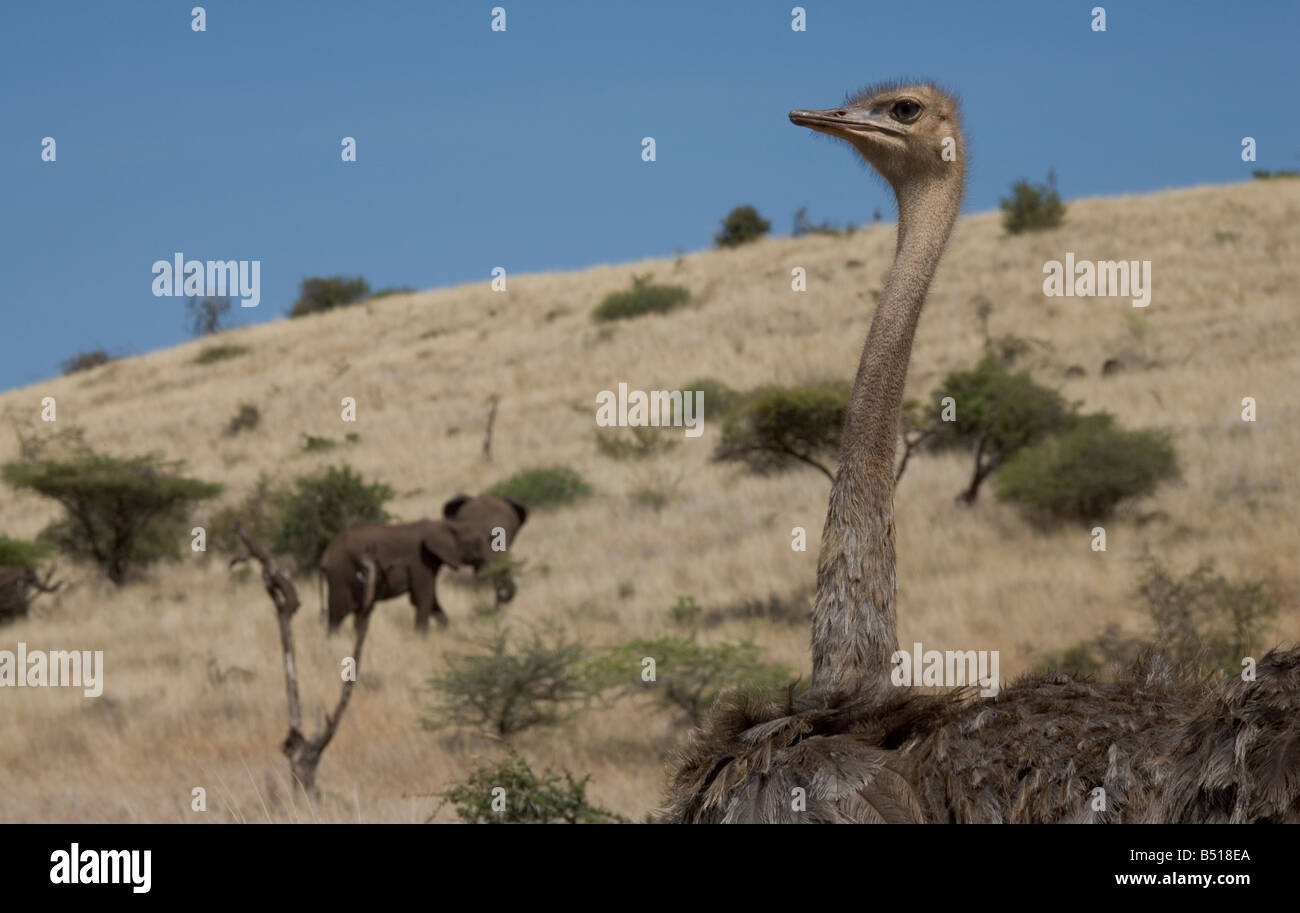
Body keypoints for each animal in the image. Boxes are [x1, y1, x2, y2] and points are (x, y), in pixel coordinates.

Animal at [319, 494, 527, 637]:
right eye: (477, 543)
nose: (496, 607)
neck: (444, 526)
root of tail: (325, 556)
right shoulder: (420, 559)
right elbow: (423, 597)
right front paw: (422, 637)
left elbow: (430, 598)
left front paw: (443, 630)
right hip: (341, 574)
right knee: (338, 612)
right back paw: (333, 642)